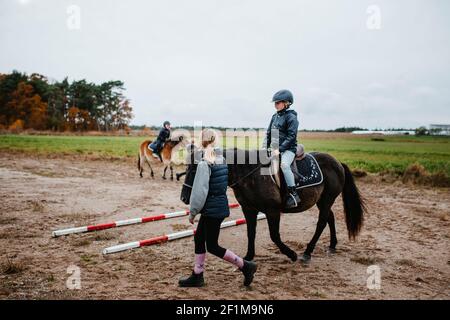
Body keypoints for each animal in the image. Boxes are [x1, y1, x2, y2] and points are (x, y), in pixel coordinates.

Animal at [180, 148, 366, 262]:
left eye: (196, 171)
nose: (184, 198)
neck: (249, 175)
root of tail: (338, 162)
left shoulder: (272, 211)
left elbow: (274, 236)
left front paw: (291, 254)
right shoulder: (249, 209)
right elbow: (251, 233)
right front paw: (248, 257)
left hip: (327, 199)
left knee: (321, 223)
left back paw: (307, 252)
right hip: (322, 201)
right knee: (330, 218)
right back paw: (332, 245)